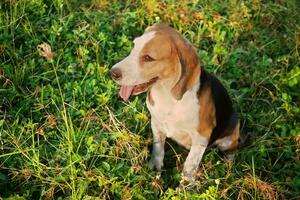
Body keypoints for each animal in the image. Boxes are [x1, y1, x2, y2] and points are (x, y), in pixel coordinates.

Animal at [109, 24, 240, 182]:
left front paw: (185, 186)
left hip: (230, 136)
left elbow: (189, 167)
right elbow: (158, 150)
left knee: (232, 151)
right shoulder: (156, 125)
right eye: (134, 46)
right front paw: (155, 170)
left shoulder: (201, 137)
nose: (112, 73)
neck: (168, 98)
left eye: (148, 58)